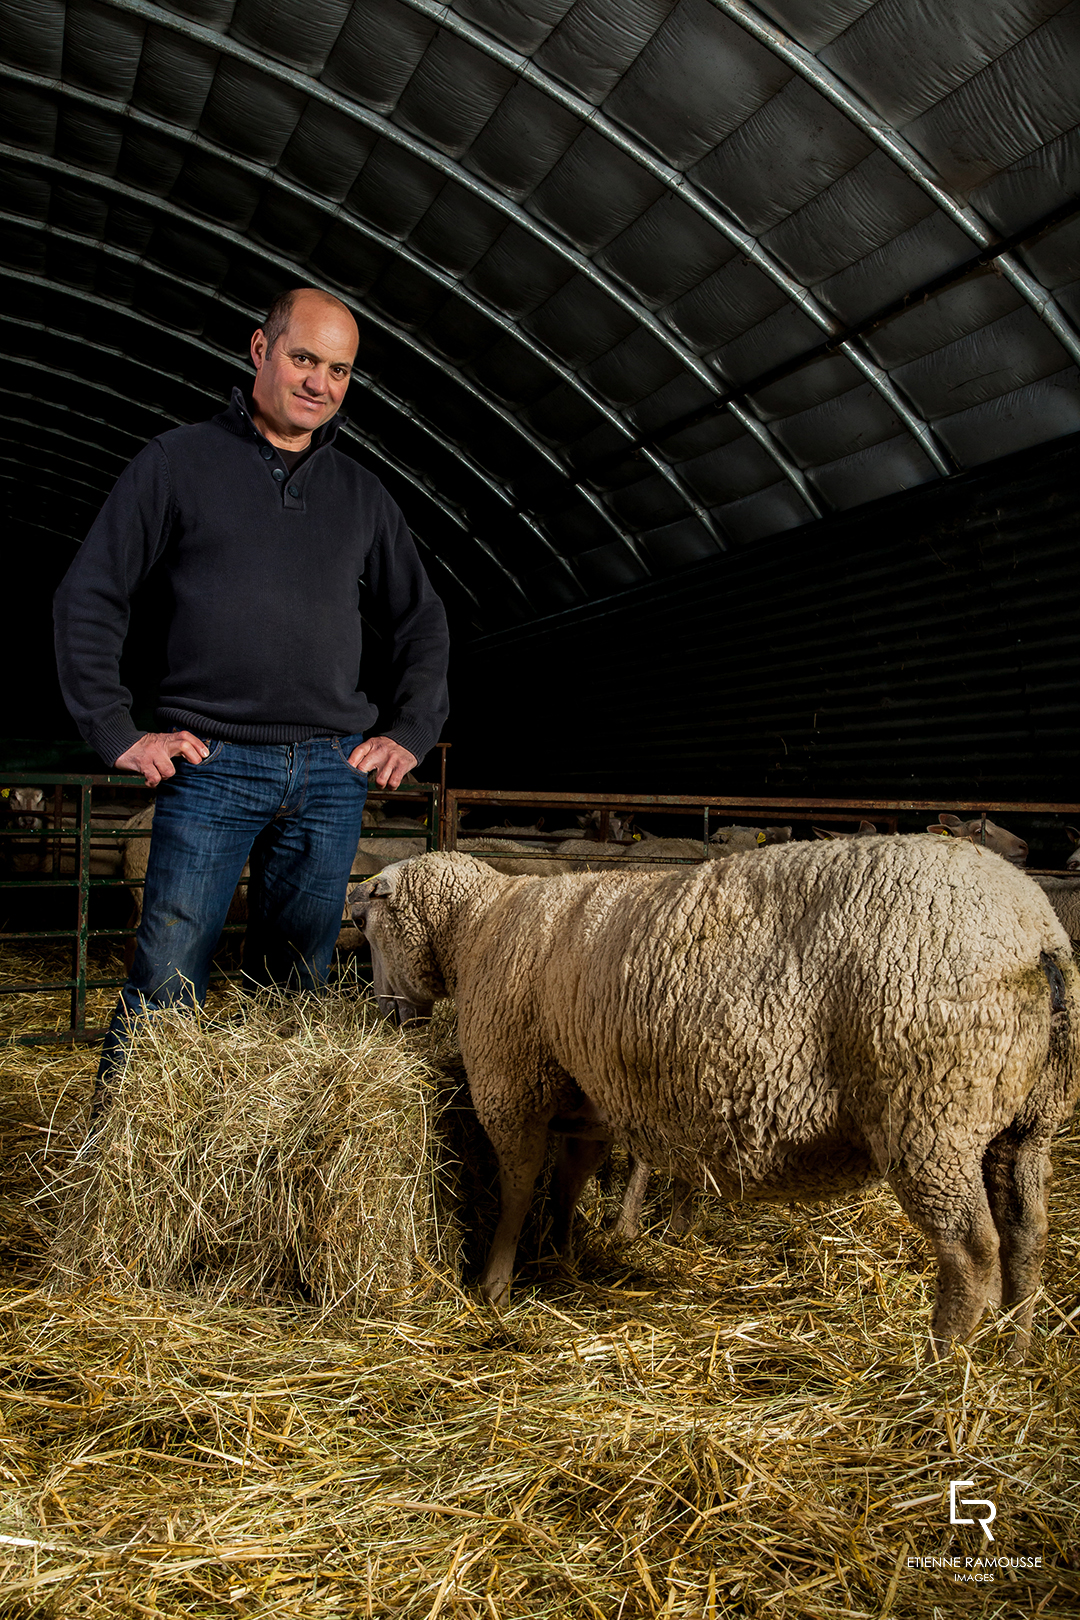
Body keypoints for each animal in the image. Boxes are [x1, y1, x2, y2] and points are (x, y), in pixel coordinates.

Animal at [351, 842, 1075, 1360]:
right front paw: (562, 1252)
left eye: (366, 925)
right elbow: (569, 1180)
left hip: (931, 1112)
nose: (384, 1015)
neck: (475, 929)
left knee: (971, 1249)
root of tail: (1036, 929)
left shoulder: (511, 1081)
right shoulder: (585, 1095)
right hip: (1023, 1119)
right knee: (1026, 1233)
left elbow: (519, 1184)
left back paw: (940, 1371)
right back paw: (1014, 1349)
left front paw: (494, 1286)